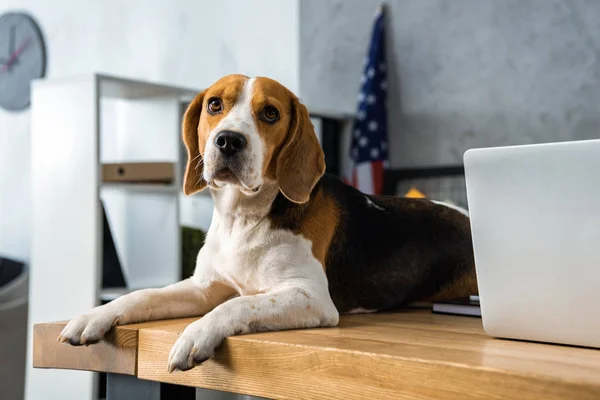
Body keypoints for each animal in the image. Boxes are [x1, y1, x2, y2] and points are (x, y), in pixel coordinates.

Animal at [57, 72, 478, 372]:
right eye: (214, 104)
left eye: (270, 113)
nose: (228, 140)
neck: (243, 219)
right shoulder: (203, 288)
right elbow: (143, 295)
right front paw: (94, 316)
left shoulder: (311, 297)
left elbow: (238, 305)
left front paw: (196, 333)